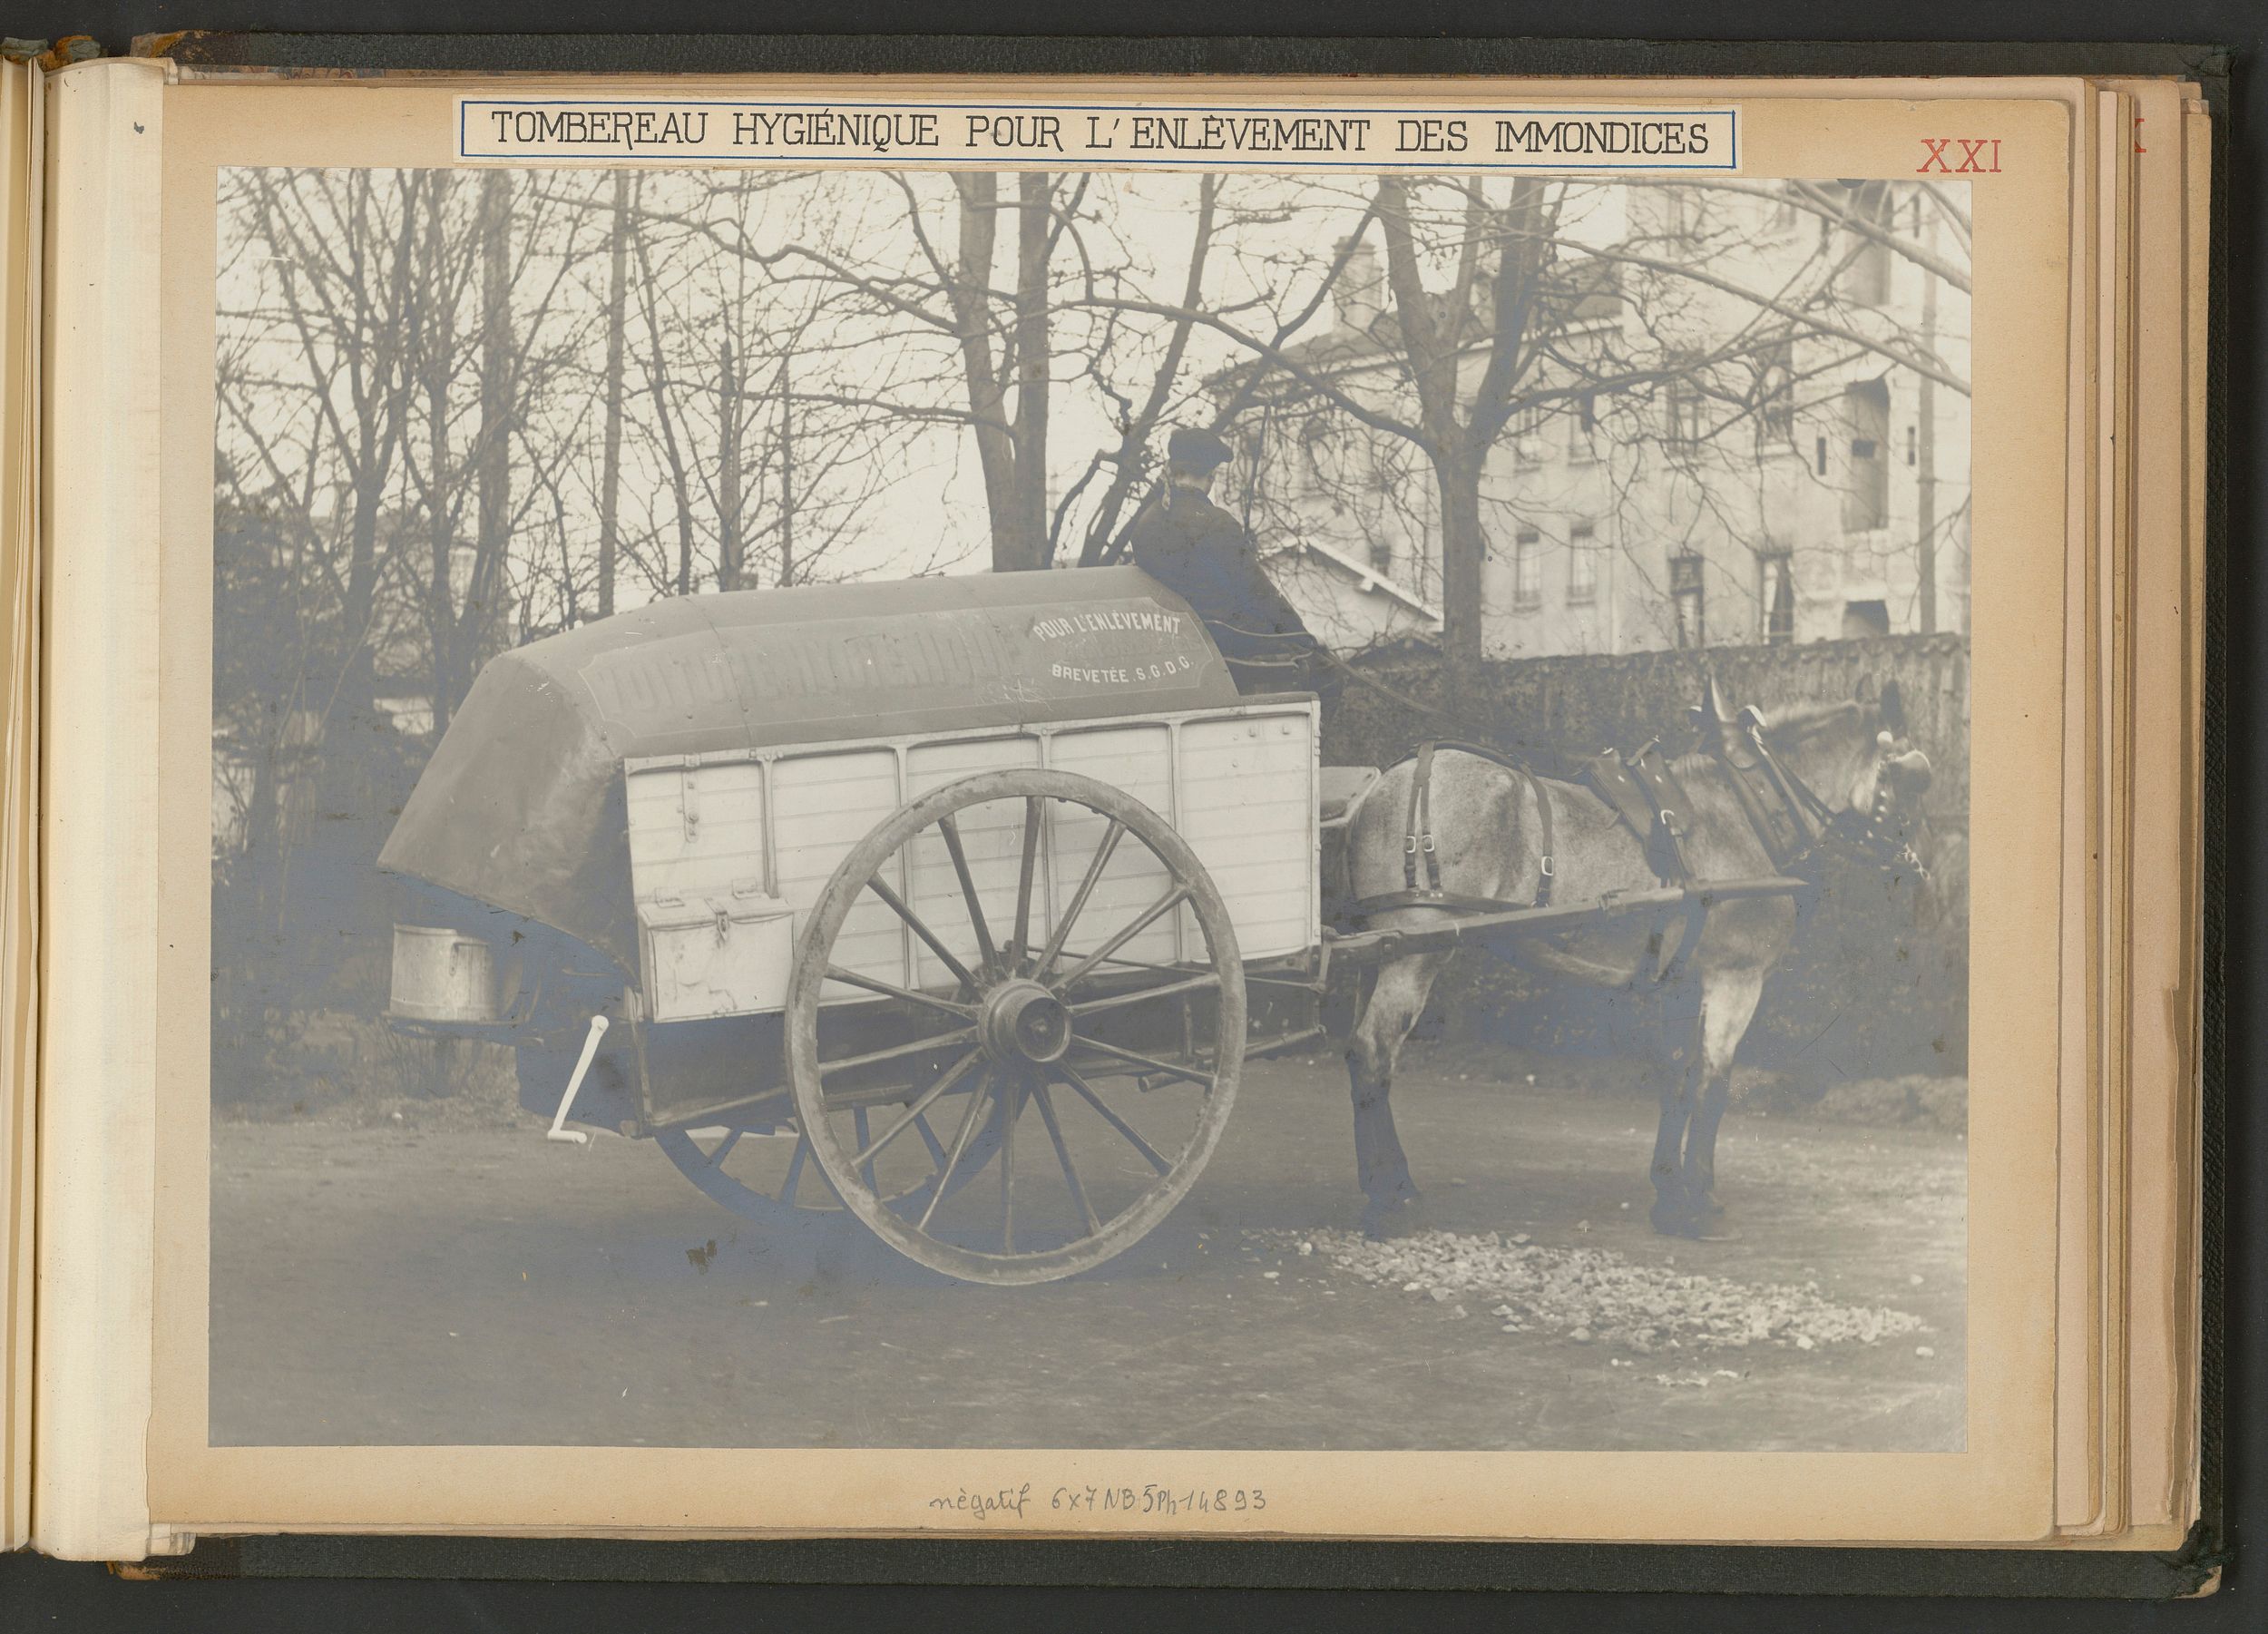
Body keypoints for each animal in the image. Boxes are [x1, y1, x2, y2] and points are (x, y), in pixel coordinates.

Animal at [1334, 676, 1941, 1234]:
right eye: (1912, 776)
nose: (1920, 866)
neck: (1747, 808)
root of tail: (1379, 790)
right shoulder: (1735, 979)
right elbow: (1713, 1085)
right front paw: (1699, 1200)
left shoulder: (1680, 983)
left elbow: (1677, 1079)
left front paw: (1669, 1192)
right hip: (1414, 953)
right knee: (1375, 1051)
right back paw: (1392, 1195)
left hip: (1378, 954)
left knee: (1359, 1054)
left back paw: (1385, 1183)